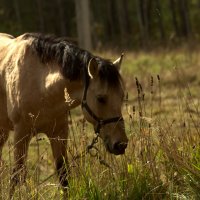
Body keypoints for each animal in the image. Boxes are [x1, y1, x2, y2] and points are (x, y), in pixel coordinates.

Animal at [0, 32, 128, 196]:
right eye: (101, 98)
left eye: (121, 96)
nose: (121, 144)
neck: (40, 83)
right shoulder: (21, 134)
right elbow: (17, 175)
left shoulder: (59, 133)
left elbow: (63, 175)